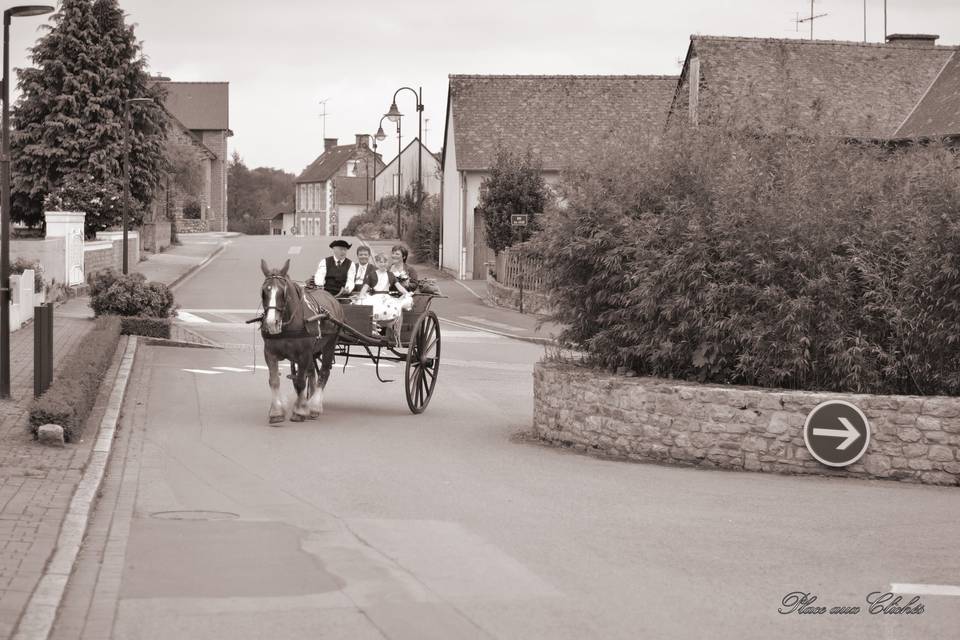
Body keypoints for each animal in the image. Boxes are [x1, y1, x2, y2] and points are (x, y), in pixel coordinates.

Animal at [258, 258, 344, 422]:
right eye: (264, 292)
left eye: (282, 293)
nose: (271, 323)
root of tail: (332, 298)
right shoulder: (269, 353)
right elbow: (274, 381)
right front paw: (276, 412)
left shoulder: (303, 354)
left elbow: (299, 382)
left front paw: (299, 411)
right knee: (312, 373)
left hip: (329, 344)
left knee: (324, 372)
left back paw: (315, 406)